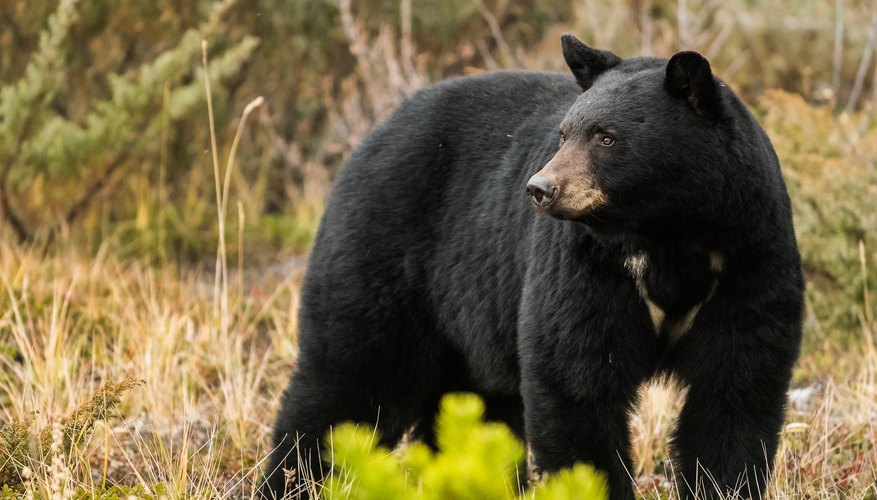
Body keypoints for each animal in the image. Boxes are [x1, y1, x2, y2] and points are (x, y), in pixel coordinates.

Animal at [264, 33, 804, 498]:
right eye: (564, 133)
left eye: (606, 137)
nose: (541, 188)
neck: (668, 234)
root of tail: (372, 134)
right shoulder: (588, 266)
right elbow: (575, 380)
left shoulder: (748, 256)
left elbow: (735, 388)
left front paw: (725, 483)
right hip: (383, 250)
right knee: (350, 380)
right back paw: (294, 480)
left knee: (472, 408)